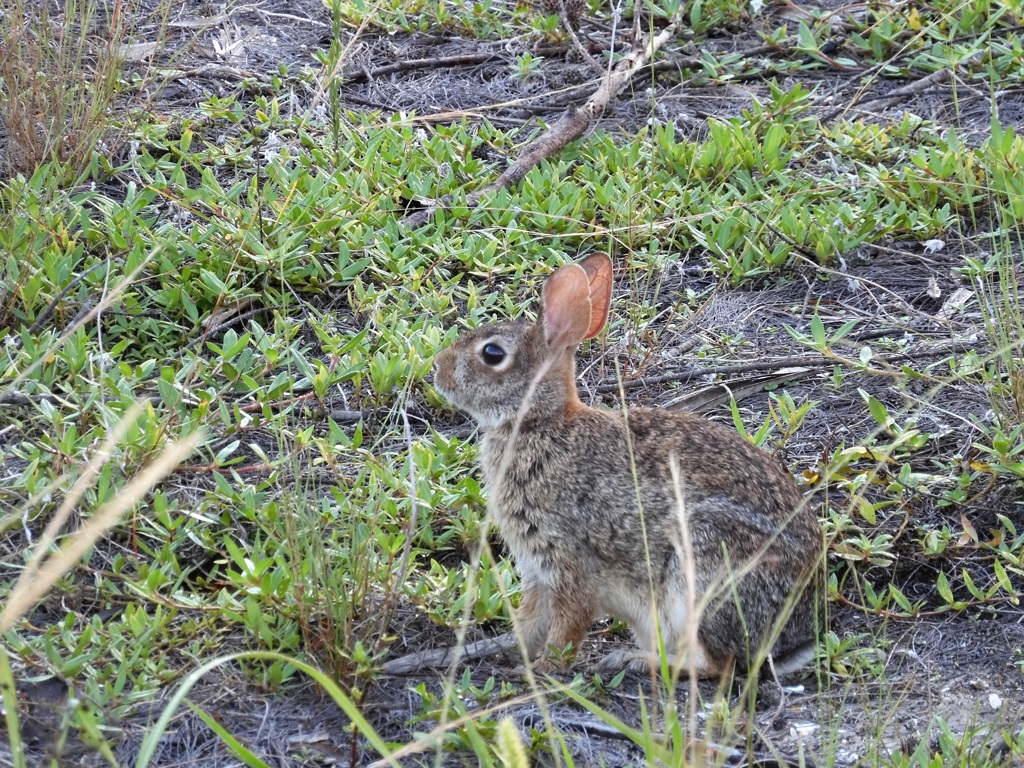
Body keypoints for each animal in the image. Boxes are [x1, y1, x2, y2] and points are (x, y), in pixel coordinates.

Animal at [432, 253, 823, 679]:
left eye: (492, 354)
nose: (437, 367)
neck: (539, 424)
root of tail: (796, 629)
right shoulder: (537, 571)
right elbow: (530, 620)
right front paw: (513, 659)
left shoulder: (569, 561)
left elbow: (568, 625)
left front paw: (546, 669)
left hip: (703, 572)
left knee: (718, 665)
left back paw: (633, 660)